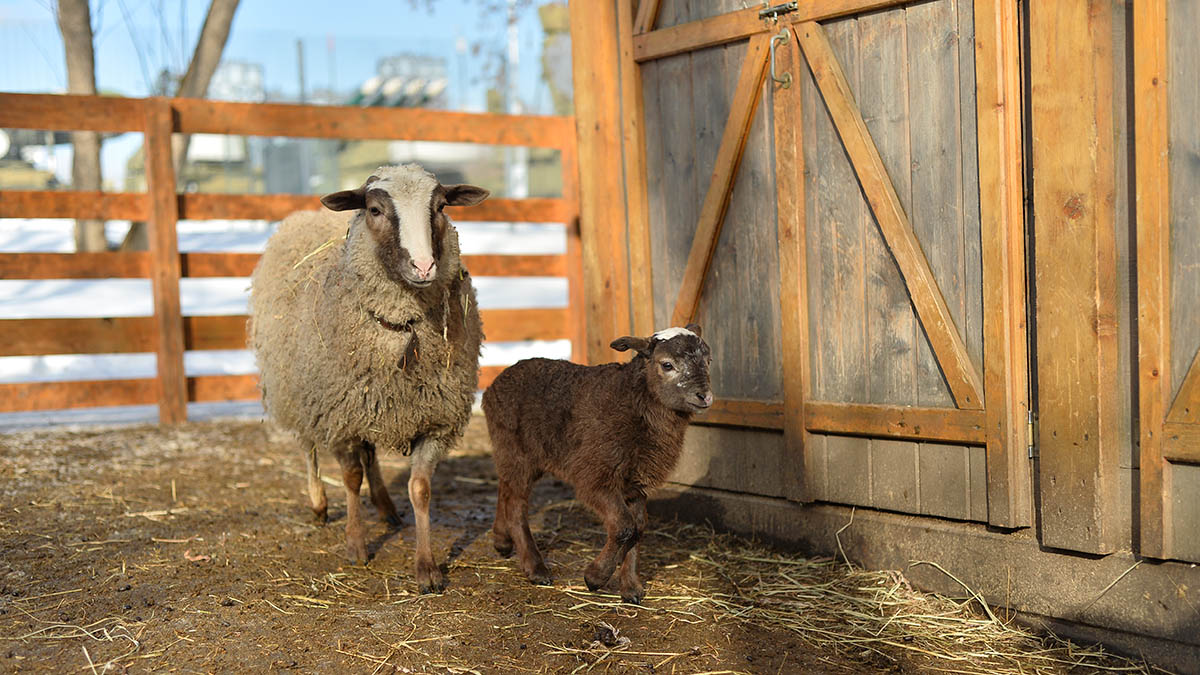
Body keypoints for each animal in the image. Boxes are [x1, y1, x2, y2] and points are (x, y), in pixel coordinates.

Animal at [246, 162, 489, 588]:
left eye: (441, 206)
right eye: (375, 210)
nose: (423, 266)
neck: (403, 329)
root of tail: (301, 216)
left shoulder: (434, 420)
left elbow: (420, 489)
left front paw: (427, 567)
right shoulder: (339, 417)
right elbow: (350, 478)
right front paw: (357, 546)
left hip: (370, 405)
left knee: (371, 453)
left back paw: (386, 508)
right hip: (297, 388)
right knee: (308, 447)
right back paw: (319, 505)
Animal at [482, 324, 710, 600]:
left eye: (708, 360)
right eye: (667, 364)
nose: (704, 396)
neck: (632, 401)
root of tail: (493, 385)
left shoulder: (635, 482)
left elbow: (638, 527)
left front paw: (631, 588)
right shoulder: (595, 476)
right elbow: (624, 527)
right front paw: (595, 577)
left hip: (513, 452)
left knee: (504, 488)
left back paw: (502, 542)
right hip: (516, 451)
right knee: (516, 505)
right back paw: (536, 569)